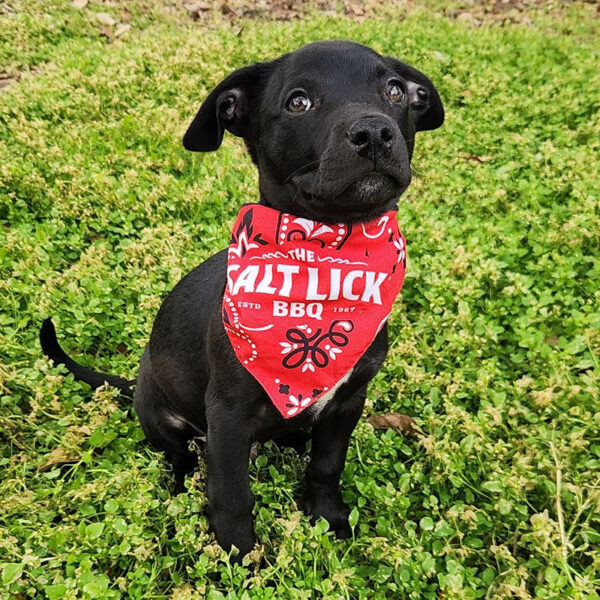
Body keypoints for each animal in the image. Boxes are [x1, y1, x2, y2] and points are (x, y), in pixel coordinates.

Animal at [41, 41, 440, 556]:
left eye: (394, 91)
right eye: (298, 102)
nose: (374, 132)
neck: (329, 259)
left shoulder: (348, 401)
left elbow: (326, 465)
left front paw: (327, 518)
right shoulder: (227, 416)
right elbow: (231, 495)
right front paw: (239, 555)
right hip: (161, 414)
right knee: (180, 458)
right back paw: (180, 487)